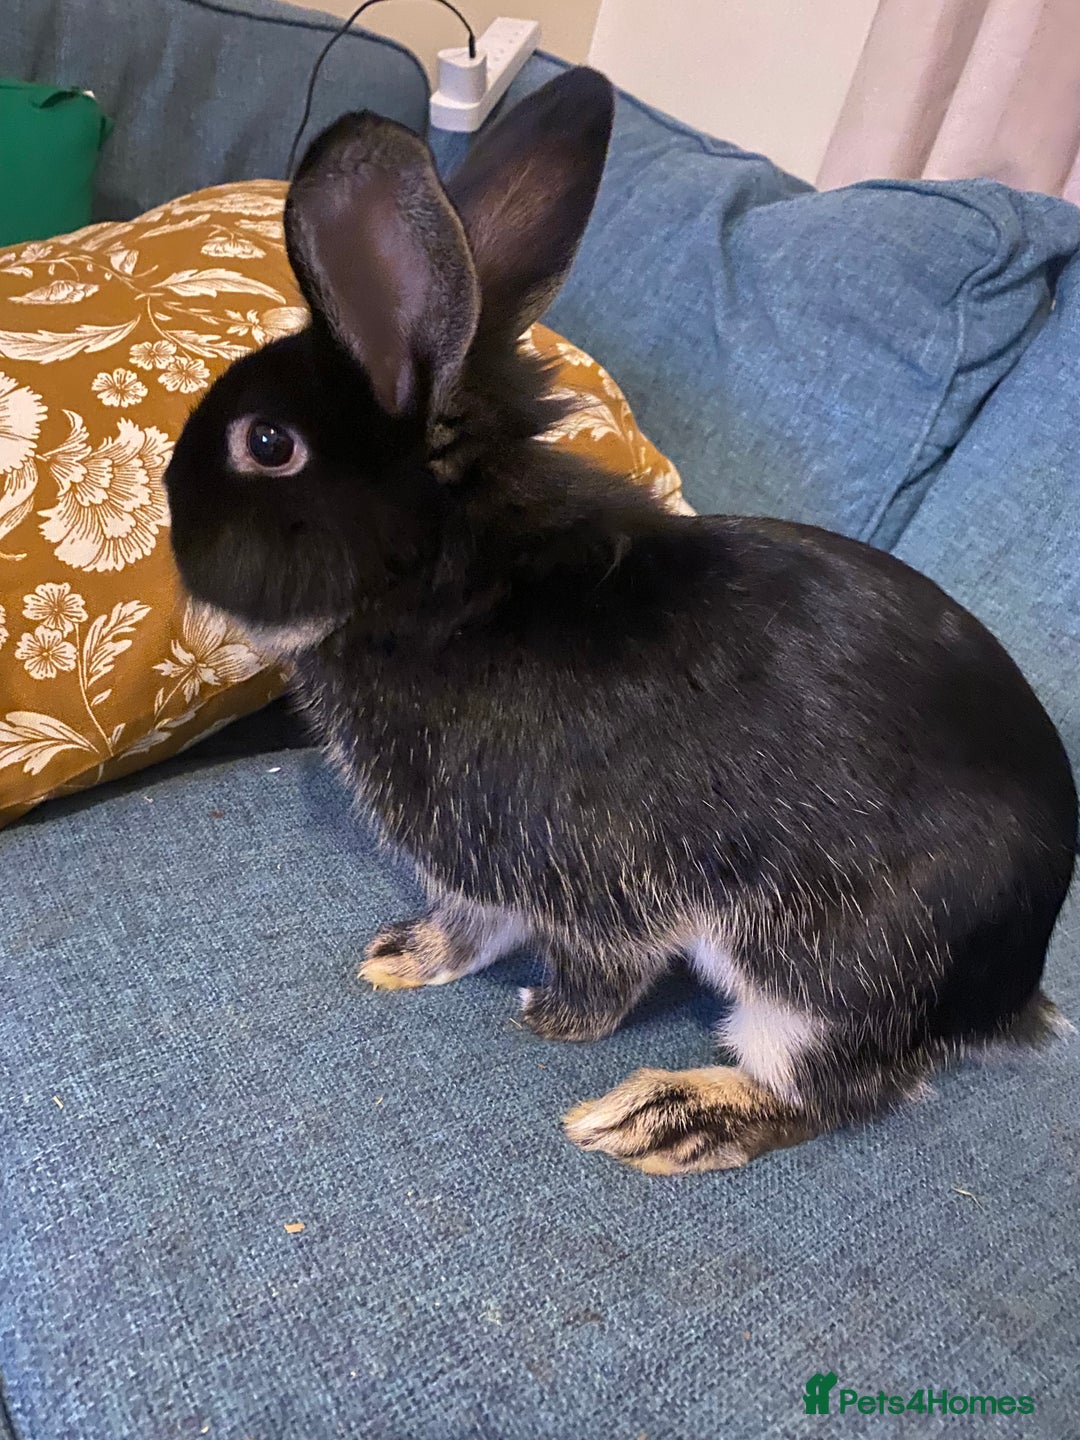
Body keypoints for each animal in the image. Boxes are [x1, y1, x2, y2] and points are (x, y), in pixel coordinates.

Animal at [164, 67, 1077, 1174]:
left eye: (266, 445)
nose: (169, 512)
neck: (445, 585)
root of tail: (1009, 988)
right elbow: (470, 925)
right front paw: (400, 957)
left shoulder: (569, 866)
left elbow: (586, 957)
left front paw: (549, 1019)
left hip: (819, 964)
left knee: (830, 1087)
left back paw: (662, 1117)